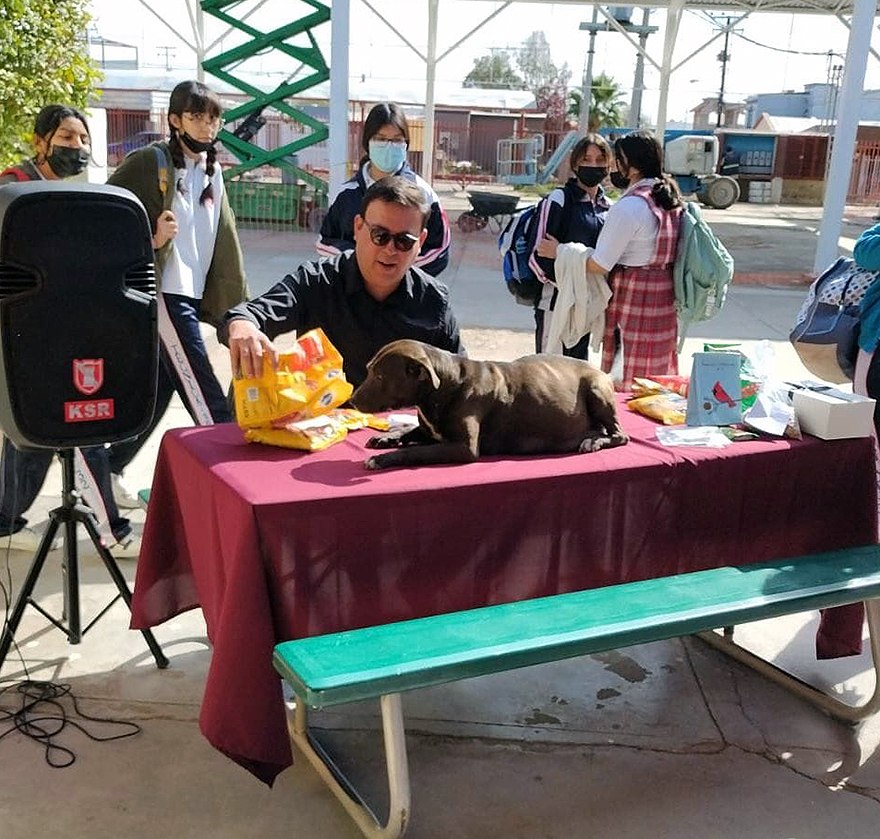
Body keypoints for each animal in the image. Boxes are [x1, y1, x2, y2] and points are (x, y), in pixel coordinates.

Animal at [348, 342, 628, 472]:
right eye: (369, 370)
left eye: (380, 377)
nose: (351, 400)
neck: (445, 385)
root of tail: (601, 371)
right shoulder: (430, 429)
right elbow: (411, 432)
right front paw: (387, 437)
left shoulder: (464, 448)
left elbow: (416, 451)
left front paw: (381, 459)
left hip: (596, 390)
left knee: (619, 435)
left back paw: (593, 442)